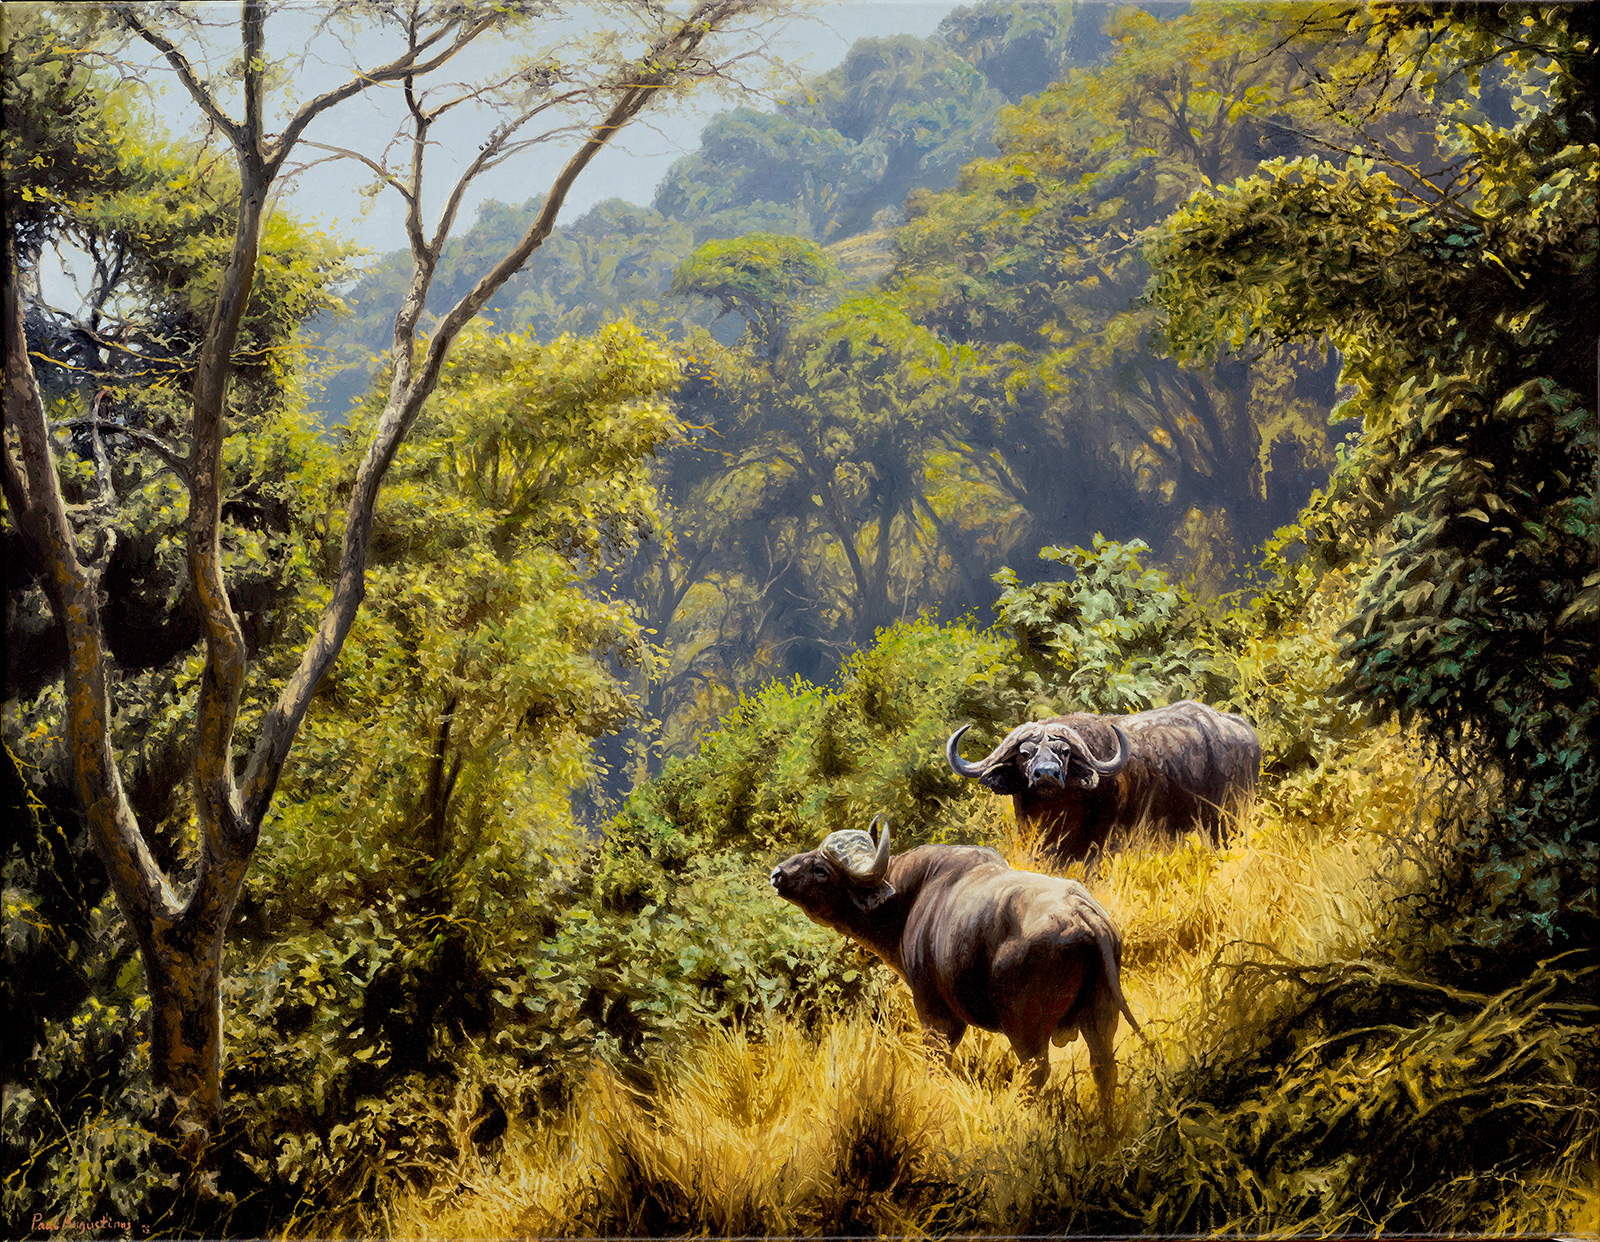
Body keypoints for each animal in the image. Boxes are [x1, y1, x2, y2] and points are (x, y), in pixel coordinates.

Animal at [769, 815, 1140, 1125]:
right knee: (1104, 1068)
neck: (910, 897)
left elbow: (937, 1061)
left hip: (1027, 1027)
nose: (777, 874)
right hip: (1101, 1015)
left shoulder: (934, 1009)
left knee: (1035, 1071)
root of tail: (1083, 914)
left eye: (821, 869)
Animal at [947, 700, 1261, 860]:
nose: (1047, 773)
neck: (1058, 812)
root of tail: (1244, 730)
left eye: (1064, 752)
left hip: (1227, 820)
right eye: (1024, 753)